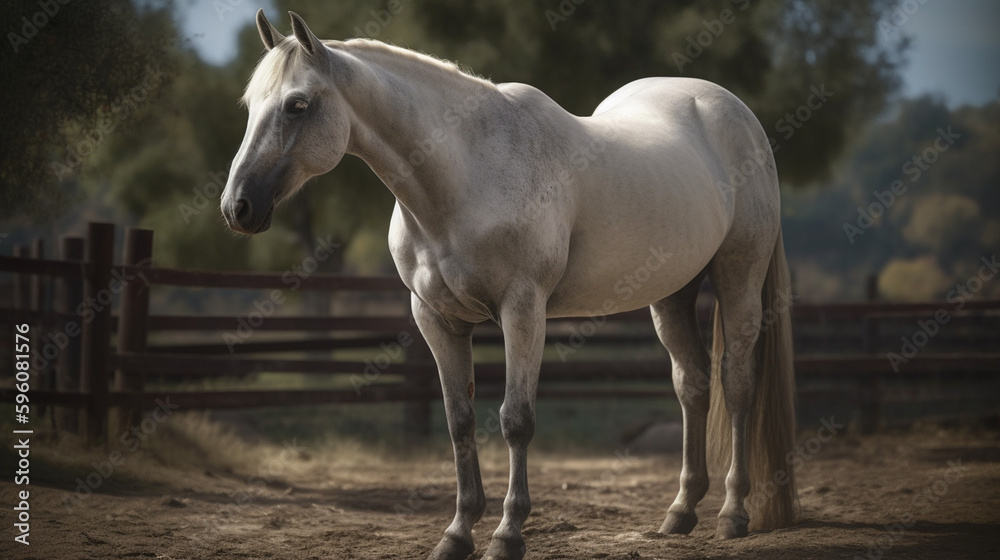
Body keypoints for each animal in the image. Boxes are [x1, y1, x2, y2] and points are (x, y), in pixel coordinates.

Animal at [221, 10, 797, 560]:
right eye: (249, 105)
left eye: (297, 104)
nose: (237, 207)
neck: (465, 176)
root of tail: (732, 111)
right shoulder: (436, 319)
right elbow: (459, 421)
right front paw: (456, 535)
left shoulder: (523, 309)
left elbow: (515, 420)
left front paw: (507, 535)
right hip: (672, 293)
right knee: (692, 384)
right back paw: (680, 513)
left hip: (738, 275)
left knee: (735, 382)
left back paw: (733, 514)